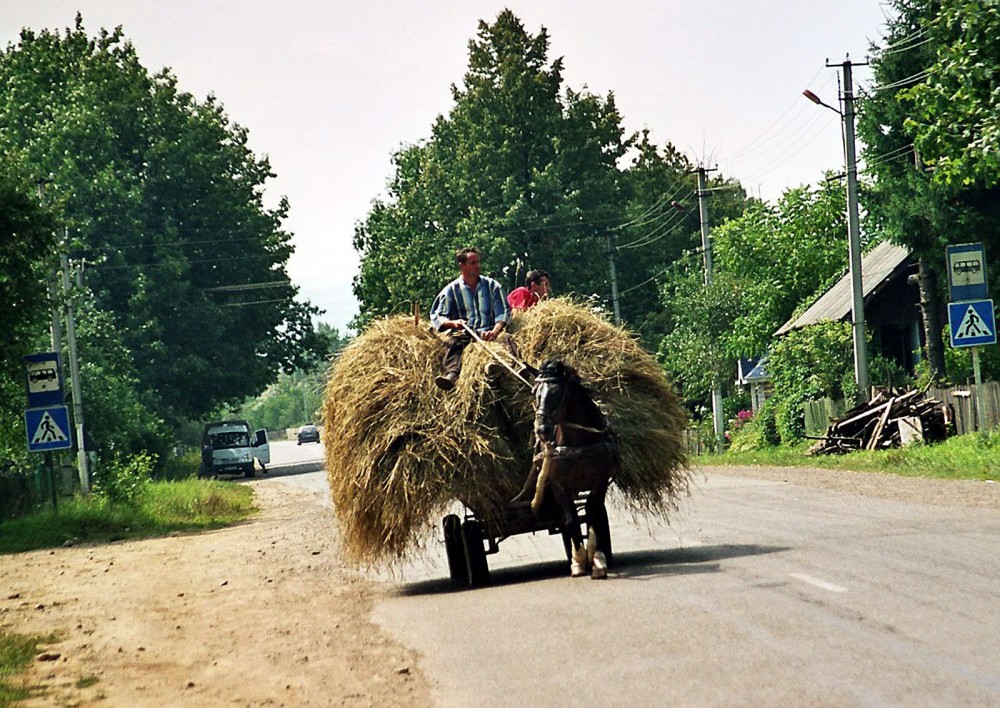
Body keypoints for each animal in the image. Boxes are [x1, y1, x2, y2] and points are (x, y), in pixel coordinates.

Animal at [516, 362, 616, 580]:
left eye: (557, 392)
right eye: (535, 392)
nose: (542, 430)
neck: (579, 444)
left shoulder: (600, 481)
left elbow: (594, 515)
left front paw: (596, 560)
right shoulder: (558, 485)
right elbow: (571, 521)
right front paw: (578, 562)